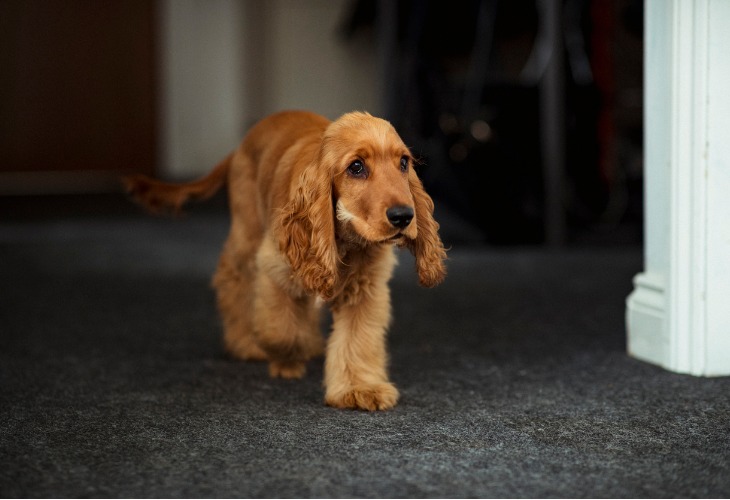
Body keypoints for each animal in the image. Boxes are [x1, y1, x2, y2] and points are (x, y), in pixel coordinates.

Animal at [123, 110, 444, 410]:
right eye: (356, 167)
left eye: (403, 163)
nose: (404, 216)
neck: (345, 239)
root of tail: (242, 144)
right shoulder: (276, 265)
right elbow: (281, 330)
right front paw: (287, 358)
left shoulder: (365, 289)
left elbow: (357, 340)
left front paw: (359, 388)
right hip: (248, 231)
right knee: (234, 280)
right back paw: (246, 342)